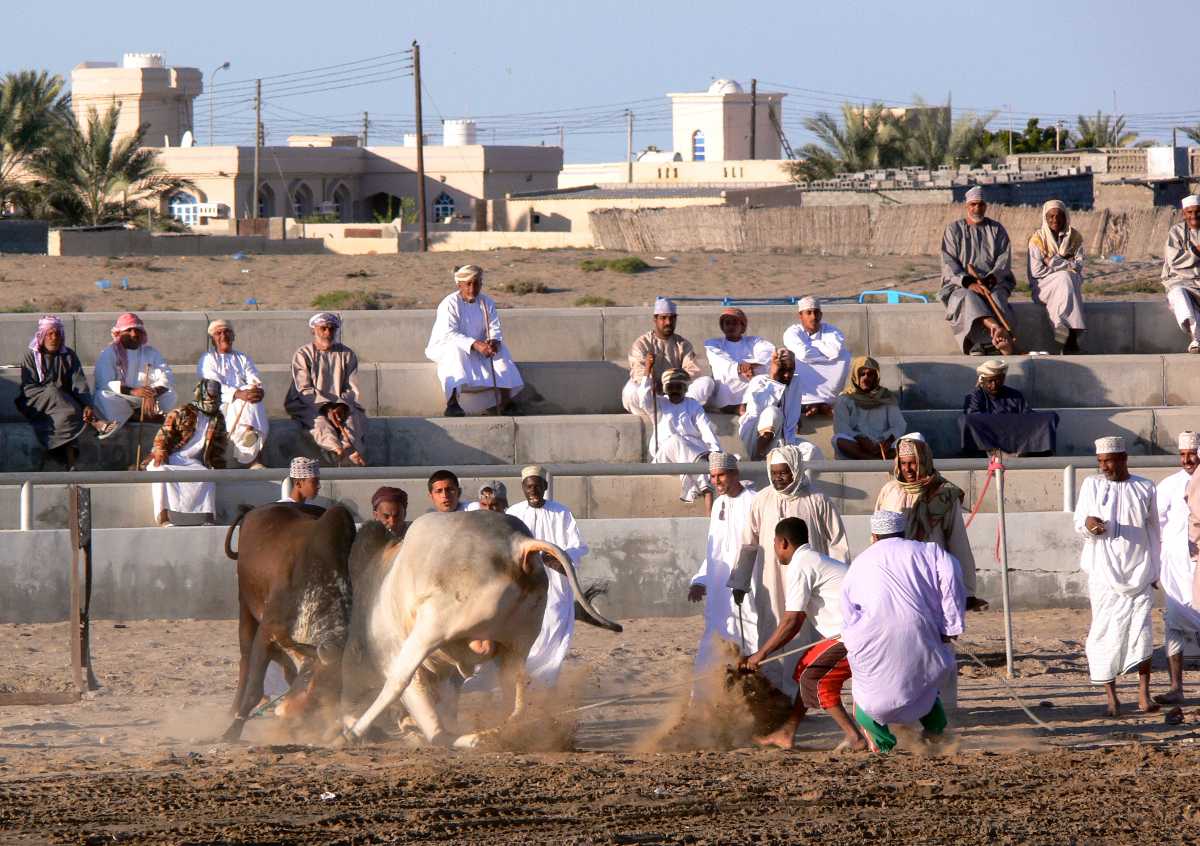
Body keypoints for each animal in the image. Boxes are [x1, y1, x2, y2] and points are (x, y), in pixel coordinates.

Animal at [223, 501, 355, 739]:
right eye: (314, 688)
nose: (292, 720)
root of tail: (253, 510)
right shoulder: (266, 632)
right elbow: (254, 690)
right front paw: (232, 732)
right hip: (245, 606)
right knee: (245, 658)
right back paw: (233, 710)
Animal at [338, 504, 619, 744]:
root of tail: (517, 543)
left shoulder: (395, 654)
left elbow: (417, 703)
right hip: (519, 642)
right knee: (515, 695)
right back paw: (495, 733)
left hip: (432, 627)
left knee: (401, 685)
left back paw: (354, 732)